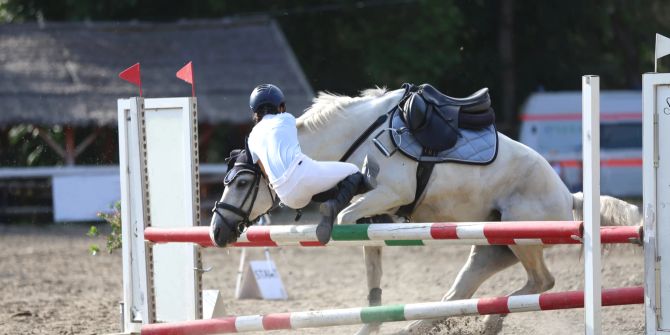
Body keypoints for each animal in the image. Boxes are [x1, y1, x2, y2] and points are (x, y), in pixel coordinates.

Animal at [211, 87, 644, 335]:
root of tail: (568, 194)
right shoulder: (378, 207)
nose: (217, 231)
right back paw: (427, 323)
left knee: (543, 281)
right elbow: (368, 251)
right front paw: (373, 318)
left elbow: (348, 219)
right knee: (463, 290)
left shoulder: (390, 192)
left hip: (522, 238)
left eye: (243, 183)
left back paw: (486, 320)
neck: (357, 136)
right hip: (491, 247)